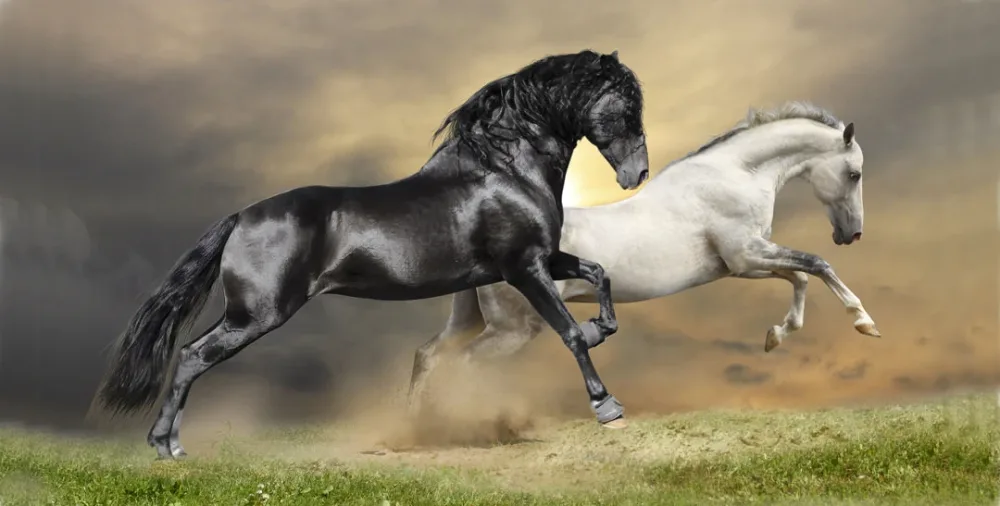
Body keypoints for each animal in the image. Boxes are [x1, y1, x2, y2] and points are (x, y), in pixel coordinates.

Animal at [95, 49, 650, 459]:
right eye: (626, 106)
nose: (637, 174)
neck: (504, 171)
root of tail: (241, 216)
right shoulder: (523, 268)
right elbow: (569, 333)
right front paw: (607, 407)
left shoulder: (543, 258)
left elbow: (598, 274)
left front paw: (603, 329)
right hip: (256, 314)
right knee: (192, 355)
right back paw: (166, 446)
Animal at [408, 101, 881, 421]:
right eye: (854, 173)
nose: (851, 234)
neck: (735, 176)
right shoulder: (746, 254)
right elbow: (816, 264)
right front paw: (865, 323)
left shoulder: (743, 263)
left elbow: (800, 277)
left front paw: (776, 336)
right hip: (514, 329)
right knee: (464, 364)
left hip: (473, 319)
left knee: (429, 354)